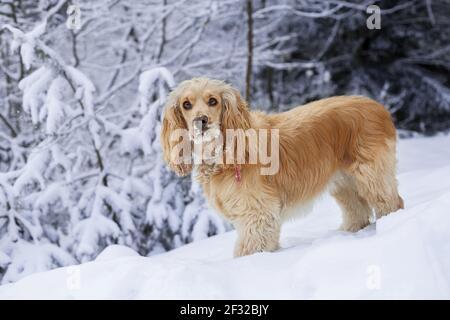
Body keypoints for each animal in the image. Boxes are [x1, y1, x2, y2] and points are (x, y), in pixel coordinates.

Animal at [161, 77, 404, 258]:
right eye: (186, 104)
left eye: (213, 101)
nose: (200, 121)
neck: (223, 153)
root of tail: (378, 106)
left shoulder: (258, 215)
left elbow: (247, 251)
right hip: (344, 183)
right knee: (358, 212)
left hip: (372, 175)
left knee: (391, 203)